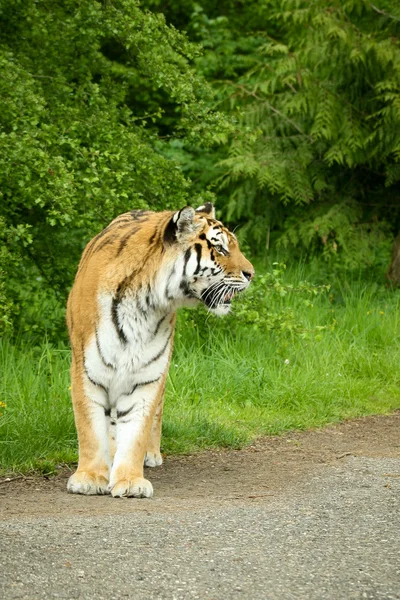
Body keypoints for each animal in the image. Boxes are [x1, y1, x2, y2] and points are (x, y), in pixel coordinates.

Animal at [65, 204, 253, 500]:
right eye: (220, 248)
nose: (251, 274)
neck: (145, 303)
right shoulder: (87, 370)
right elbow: (91, 427)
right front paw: (90, 478)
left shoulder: (148, 374)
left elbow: (137, 430)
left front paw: (130, 481)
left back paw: (150, 454)